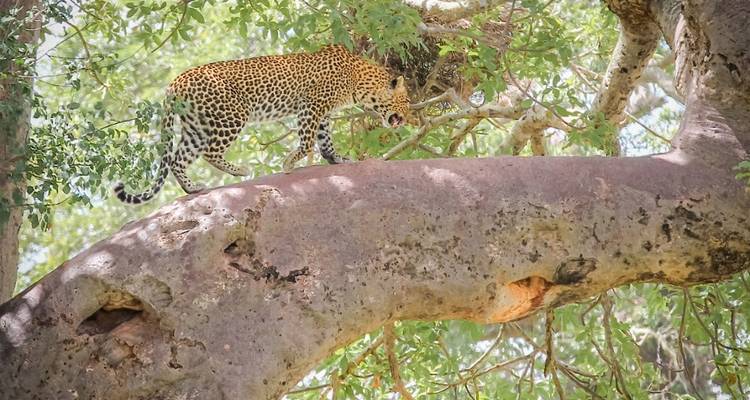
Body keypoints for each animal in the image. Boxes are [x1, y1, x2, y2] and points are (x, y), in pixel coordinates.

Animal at [114, 44, 409, 204]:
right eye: (406, 101)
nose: (406, 118)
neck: (360, 81)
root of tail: (175, 81)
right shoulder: (312, 106)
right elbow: (307, 140)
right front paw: (290, 162)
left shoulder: (323, 113)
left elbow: (325, 141)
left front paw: (337, 159)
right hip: (232, 116)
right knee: (210, 152)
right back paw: (239, 170)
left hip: (197, 126)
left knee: (178, 158)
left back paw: (193, 187)